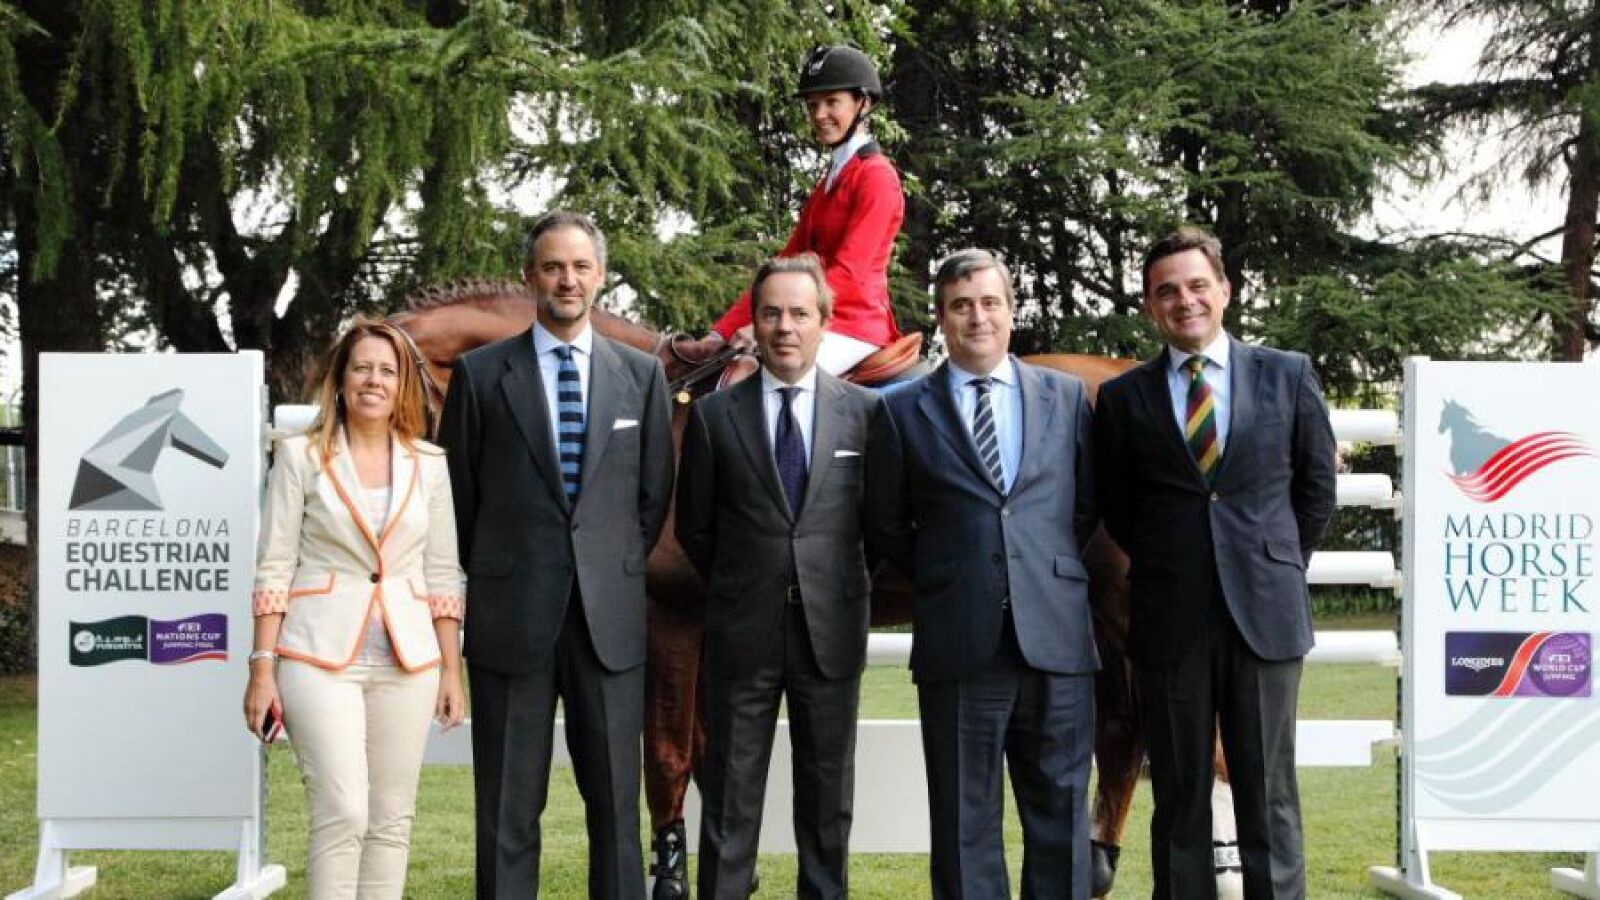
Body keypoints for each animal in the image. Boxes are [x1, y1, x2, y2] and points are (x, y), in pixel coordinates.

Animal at [390, 280, 1164, 897]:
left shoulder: (672, 615)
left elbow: (666, 752)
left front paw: (669, 877)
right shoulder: (715, 621)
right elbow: (708, 749)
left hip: (1121, 610)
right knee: (1120, 732)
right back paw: (1097, 863)